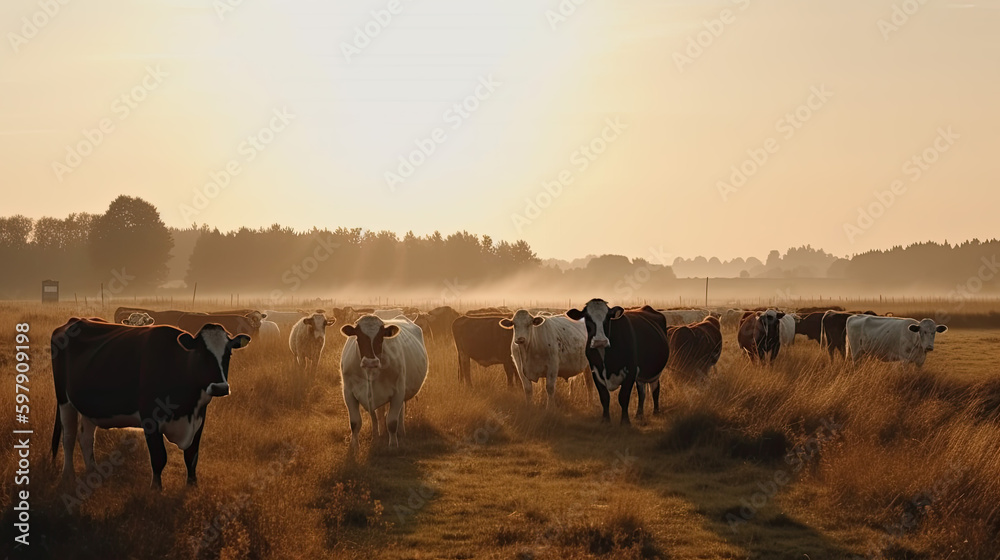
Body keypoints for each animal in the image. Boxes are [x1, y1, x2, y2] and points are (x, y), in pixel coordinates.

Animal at [51, 318, 251, 488]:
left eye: (229, 354)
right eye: (200, 353)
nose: (220, 388)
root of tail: (74, 321)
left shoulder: (199, 418)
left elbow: (192, 456)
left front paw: (192, 488)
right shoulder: (150, 418)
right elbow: (159, 458)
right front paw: (156, 490)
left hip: (88, 406)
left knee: (85, 438)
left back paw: (92, 474)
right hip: (64, 399)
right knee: (68, 438)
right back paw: (68, 477)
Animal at [340, 315, 428, 449]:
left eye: (381, 337)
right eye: (358, 337)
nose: (371, 362)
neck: (370, 372)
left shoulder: (398, 393)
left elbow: (392, 422)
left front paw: (393, 445)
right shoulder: (349, 393)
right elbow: (355, 423)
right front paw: (354, 446)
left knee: (399, 413)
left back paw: (401, 432)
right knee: (378, 415)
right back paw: (378, 433)